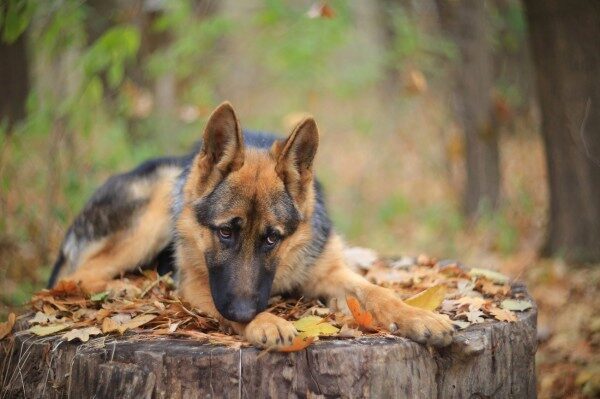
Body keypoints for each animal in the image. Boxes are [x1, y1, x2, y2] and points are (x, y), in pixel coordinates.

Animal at [50, 104, 454, 350]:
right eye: (225, 232)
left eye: (272, 238)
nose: (247, 312)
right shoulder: (199, 287)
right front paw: (266, 322)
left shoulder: (331, 273)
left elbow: (379, 293)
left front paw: (418, 315)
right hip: (154, 209)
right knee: (72, 277)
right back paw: (124, 287)